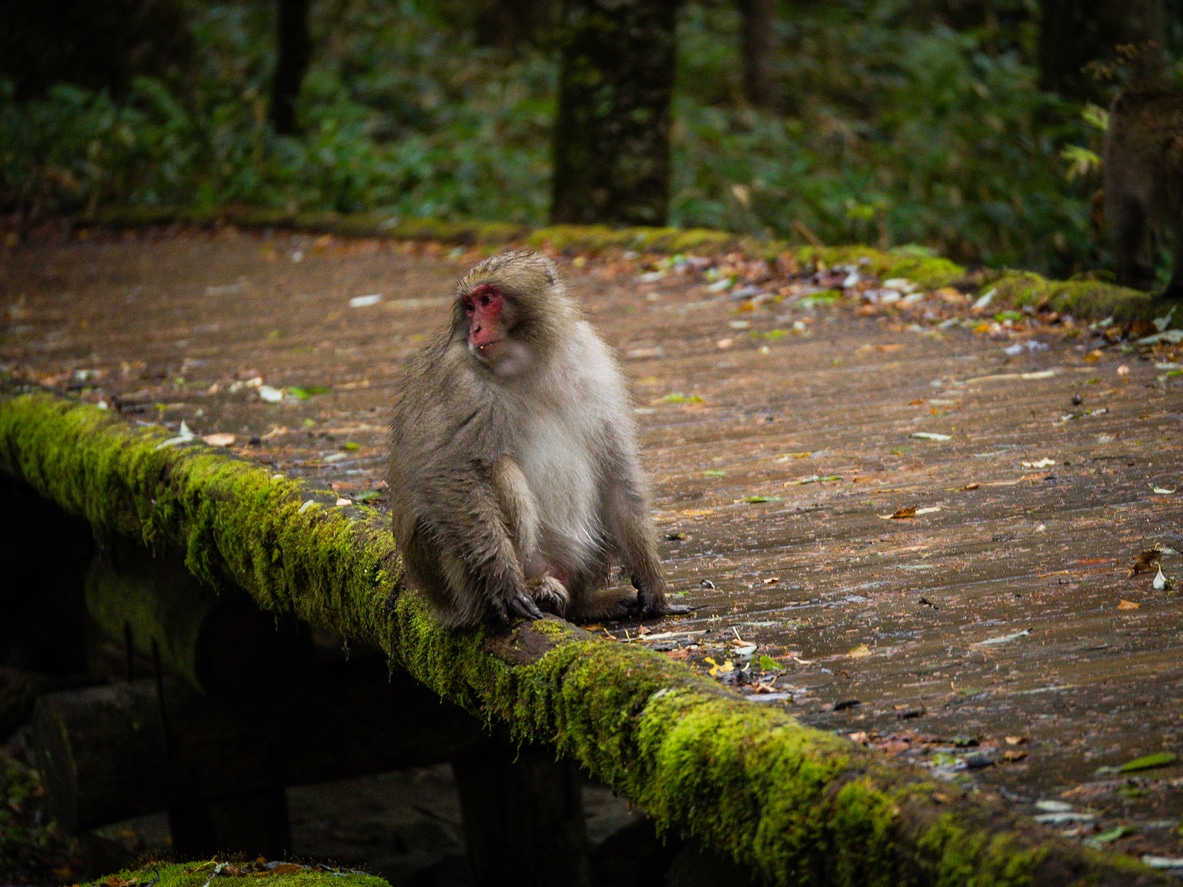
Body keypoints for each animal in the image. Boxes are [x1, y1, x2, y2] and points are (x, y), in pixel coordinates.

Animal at [387, 250, 690, 629]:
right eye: (469, 307)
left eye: (487, 300)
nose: (475, 329)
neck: (526, 362)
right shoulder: (457, 381)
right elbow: (451, 472)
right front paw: (505, 582)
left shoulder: (591, 357)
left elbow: (615, 468)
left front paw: (651, 582)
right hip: (458, 588)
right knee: (499, 471)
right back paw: (534, 589)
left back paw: (586, 602)